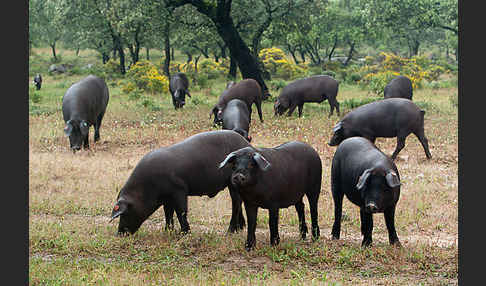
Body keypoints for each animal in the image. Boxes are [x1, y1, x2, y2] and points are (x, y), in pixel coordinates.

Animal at [110, 131, 251, 236]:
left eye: (125, 213)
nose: (119, 234)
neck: (146, 188)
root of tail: (247, 144)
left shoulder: (179, 190)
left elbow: (181, 212)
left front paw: (185, 233)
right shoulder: (167, 198)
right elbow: (168, 213)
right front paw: (167, 232)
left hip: (232, 183)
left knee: (236, 203)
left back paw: (229, 232)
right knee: (239, 202)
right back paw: (240, 228)